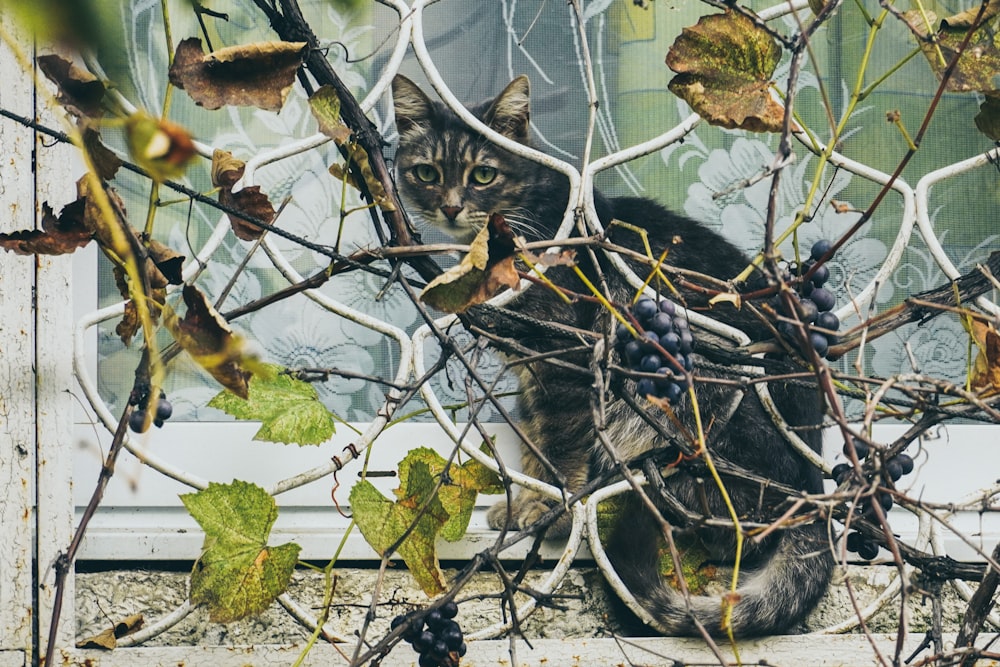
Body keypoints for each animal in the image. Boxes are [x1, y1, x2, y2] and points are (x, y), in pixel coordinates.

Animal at [392, 73, 836, 636]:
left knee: (730, 527)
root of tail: (813, 489)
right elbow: (535, 440)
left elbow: (562, 450)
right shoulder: (533, 373)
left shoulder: (565, 358)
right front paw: (529, 500)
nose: (450, 206)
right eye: (426, 172)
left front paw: (553, 508)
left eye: (483, 174)